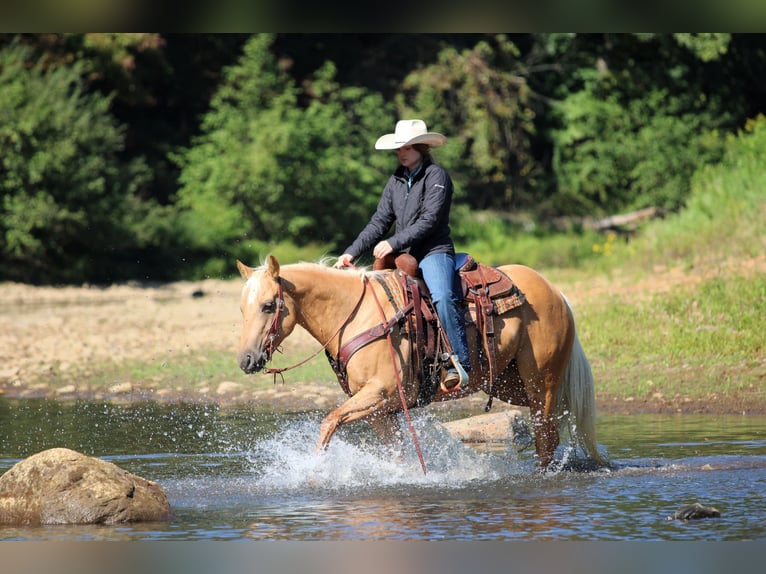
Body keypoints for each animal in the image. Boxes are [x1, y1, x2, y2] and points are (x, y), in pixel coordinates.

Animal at [236, 255, 604, 470]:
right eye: (242, 308)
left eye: (269, 305)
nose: (246, 359)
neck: (356, 315)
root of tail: (557, 293)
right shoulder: (381, 410)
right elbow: (395, 453)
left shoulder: (381, 393)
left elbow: (329, 421)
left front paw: (314, 471)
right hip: (511, 384)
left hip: (541, 381)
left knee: (546, 438)